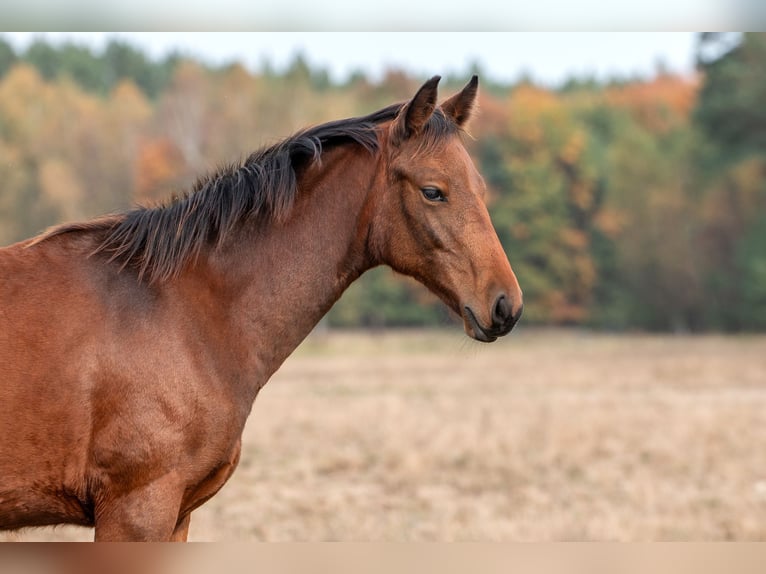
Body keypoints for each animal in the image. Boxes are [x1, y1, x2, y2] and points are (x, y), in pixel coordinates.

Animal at [0, 75, 520, 540]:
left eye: (481, 188)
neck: (183, 313)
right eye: (433, 191)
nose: (505, 305)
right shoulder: (136, 511)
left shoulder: (177, 517)